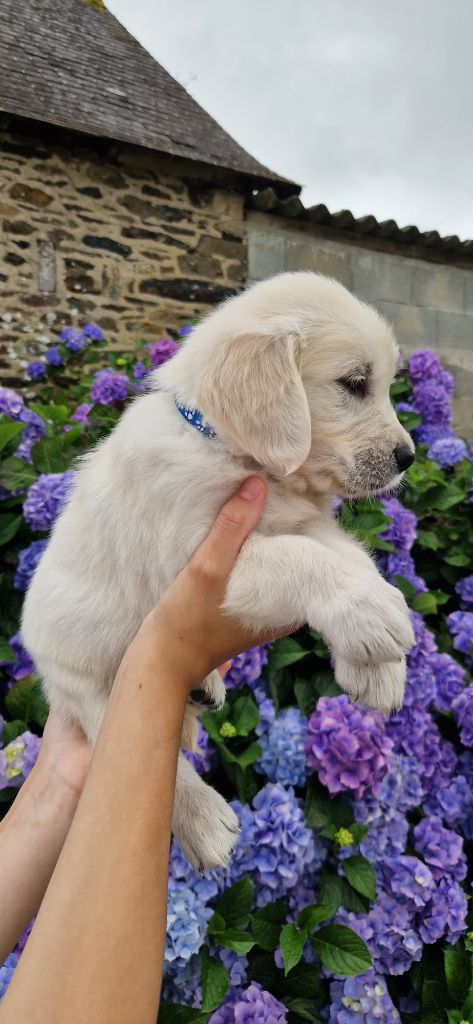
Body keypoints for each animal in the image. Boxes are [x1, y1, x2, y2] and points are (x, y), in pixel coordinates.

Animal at [22, 271, 415, 871]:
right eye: (354, 383)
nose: (409, 457)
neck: (235, 453)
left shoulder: (304, 521)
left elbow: (349, 555)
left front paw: (378, 667)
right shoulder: (201, 558)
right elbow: (301, 558)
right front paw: (374, 615)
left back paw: (202, 688)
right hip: (80, 674)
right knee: (111, 725)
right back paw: (203, 821)